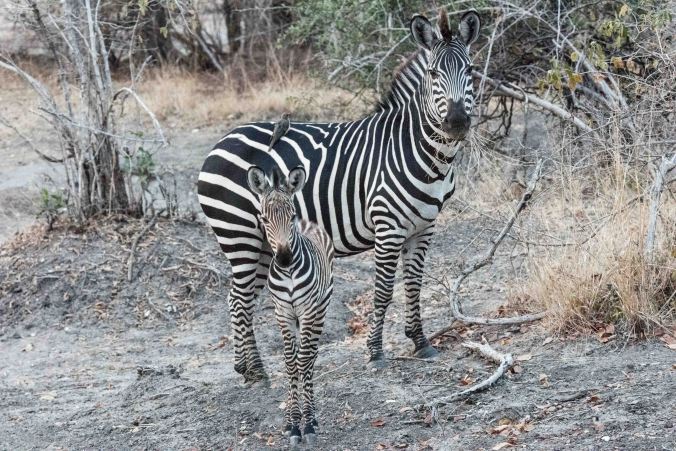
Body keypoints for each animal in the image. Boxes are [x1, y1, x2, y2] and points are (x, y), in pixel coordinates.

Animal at [198, 9, 481, 383]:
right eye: (434, 73)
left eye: (471, 70)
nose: (457, 122)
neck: (420, 150)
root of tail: (220, 142)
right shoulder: (387, 227)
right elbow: (383, 291)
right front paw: (375, 351)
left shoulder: (424, 227)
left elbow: (414, 285)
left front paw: (421, 342)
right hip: (239, 234)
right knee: (240, 300)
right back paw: (256, 371)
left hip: (262, 243)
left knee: (236, 298)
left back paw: (245, 367)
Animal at [246, 164, 333, 446]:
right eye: (263, 219)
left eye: (292, 215)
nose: (284, 258)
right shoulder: (282, 313)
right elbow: (290, 362)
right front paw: (292, 424)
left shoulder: (307, 310)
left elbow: (303, 360)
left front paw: (307, 424)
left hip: (321, 307)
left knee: (311, 355)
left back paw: (312, 416)